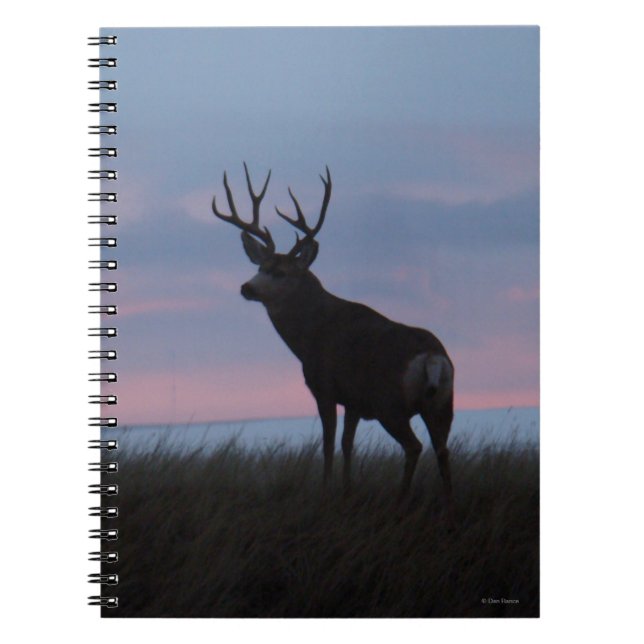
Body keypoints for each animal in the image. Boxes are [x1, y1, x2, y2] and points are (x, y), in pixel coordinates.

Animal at [211, 163, 455, 510]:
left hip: (390, 403)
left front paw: (326, 490)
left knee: (414, 446)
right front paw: (347, 489)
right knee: (443, 449)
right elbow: (347, 443)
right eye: (260, 266)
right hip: (443, 403)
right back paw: (449, 501)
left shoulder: (324, 387)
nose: (247, 287)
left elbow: (327, 443)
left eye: (280, 272)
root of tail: (432, 357)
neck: (310, 336)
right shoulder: (353, 400)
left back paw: (400, 499)